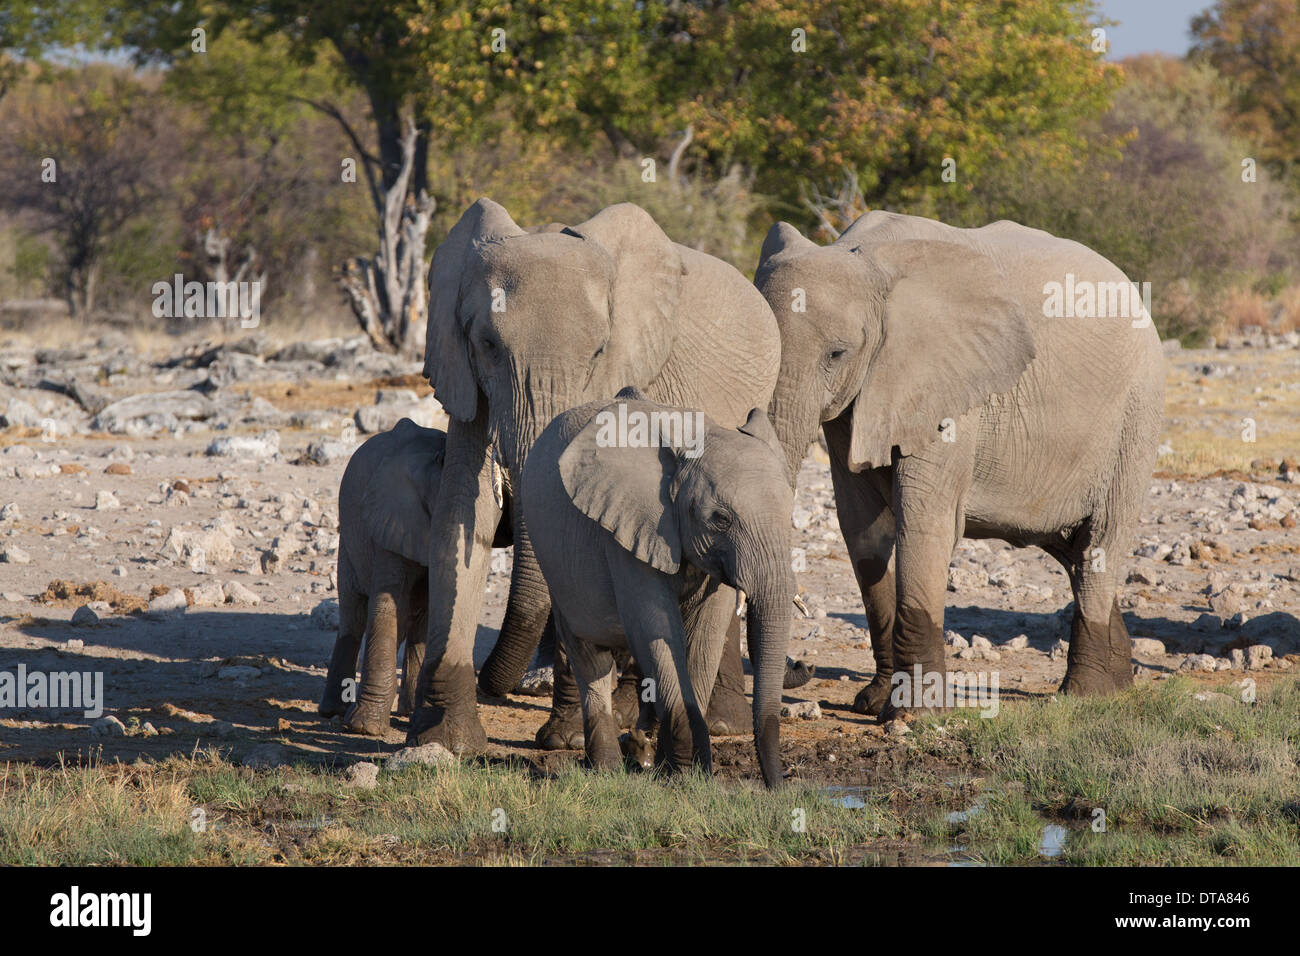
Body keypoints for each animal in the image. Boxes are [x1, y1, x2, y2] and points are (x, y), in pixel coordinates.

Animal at [410, 200, 780, 754]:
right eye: (487, 344)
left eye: (599, 352)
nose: (486, 682)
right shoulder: (461, 370)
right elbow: (464, 508)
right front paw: (446, 742)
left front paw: (563, 743)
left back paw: (684, 724)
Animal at [522, 390, 795, 785]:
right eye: (721, 519)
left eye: (790, 514)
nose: (778, 785)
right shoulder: (627, 527)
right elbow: (656, 629)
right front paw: (684, 775)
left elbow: (704, 635)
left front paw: (691, 773)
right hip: (552, 557)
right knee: (587, 653)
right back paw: (607, 769)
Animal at [759, 209, 1164, 717]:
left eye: (837, 353)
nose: (804, 666)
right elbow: (862, 529)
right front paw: (873, 703)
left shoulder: (945, 392)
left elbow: (923, 523)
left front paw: (912, 715)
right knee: (1072, 550)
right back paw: (1118, 687)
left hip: (1135, 421)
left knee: (1100, 546)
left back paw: (1084, 697)